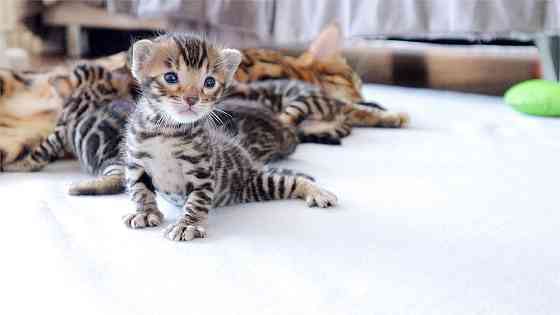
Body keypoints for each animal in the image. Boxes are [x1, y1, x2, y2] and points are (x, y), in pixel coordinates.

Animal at [123, 34, 336, 242]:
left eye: (209, 82)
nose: (192, 99)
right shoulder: (135, 164)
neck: (165, 131)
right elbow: (140, 190)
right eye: (170, 77)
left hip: (258, 184)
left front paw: (188, 224)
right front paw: (145, 212)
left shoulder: (201, 171)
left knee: (291, 182)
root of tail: (251, 163)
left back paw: (317, 192)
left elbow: (197, 200)